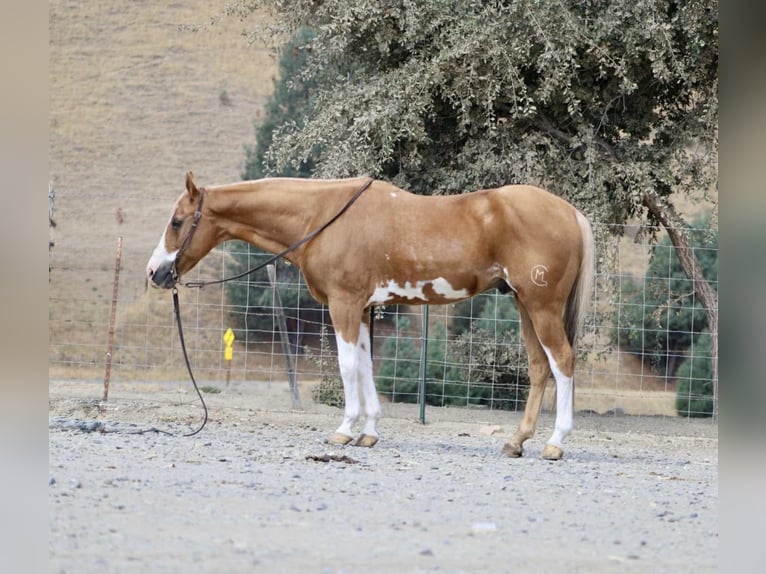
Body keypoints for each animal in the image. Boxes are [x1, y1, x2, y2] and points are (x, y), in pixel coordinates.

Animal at [147, 172, 594, 460]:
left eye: (177, 221)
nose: (155, 272)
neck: (323, 216)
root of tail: (569, 212)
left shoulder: (343, 304)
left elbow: (347, 367)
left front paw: (344, 431)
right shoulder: (363, 308)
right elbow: (364, 367)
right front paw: (369, 431)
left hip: (542, 307)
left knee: (562, 361)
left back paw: (556, 442)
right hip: (524, 305)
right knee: (539, 367)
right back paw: (517, 441)